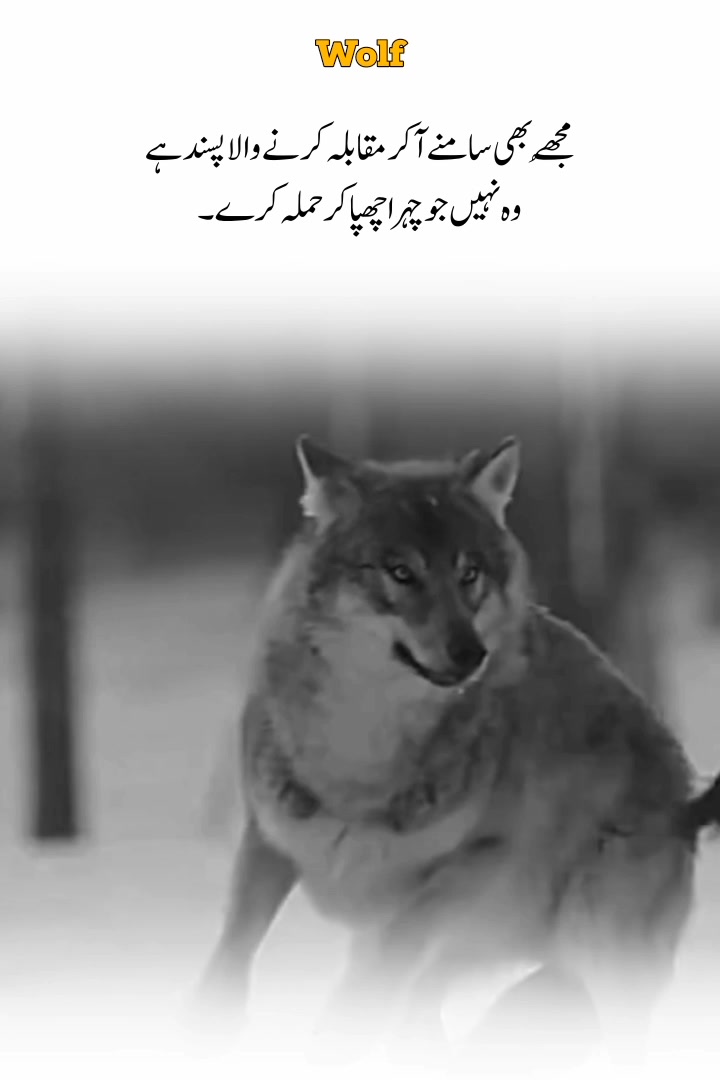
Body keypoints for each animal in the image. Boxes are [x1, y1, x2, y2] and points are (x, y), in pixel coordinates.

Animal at [198, 434, 720, 1064]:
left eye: (469, 573)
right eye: (401, 572)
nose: (470, 653)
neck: (362, 747)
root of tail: (686, 799)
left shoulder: (479, 863)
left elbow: (389, 953)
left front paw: (337, 1029)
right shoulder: (269, 836)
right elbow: (234, 942)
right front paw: (210, 1021)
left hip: (597, 946)